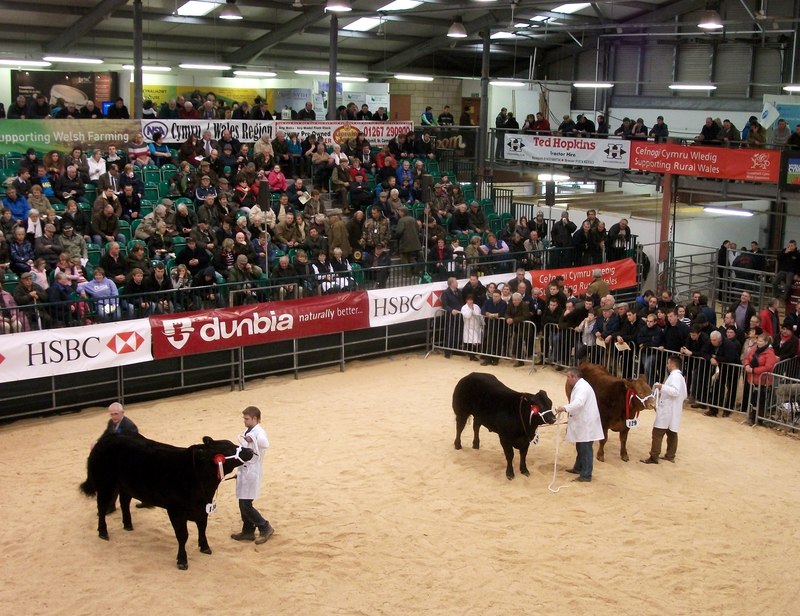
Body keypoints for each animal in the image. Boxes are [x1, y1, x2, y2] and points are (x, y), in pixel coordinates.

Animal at [79, 434, 252, 568]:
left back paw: (128, 525)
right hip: (105, 484)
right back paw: (103, 532)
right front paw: (182, 560)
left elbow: (202, 528)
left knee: (124, 502)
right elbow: (183, 535)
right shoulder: (176, 510)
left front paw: (205, 547)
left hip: (125, 486)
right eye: (227, 448)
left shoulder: (203, 507)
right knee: (102, 507)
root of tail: (105, 439)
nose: (250, 450)